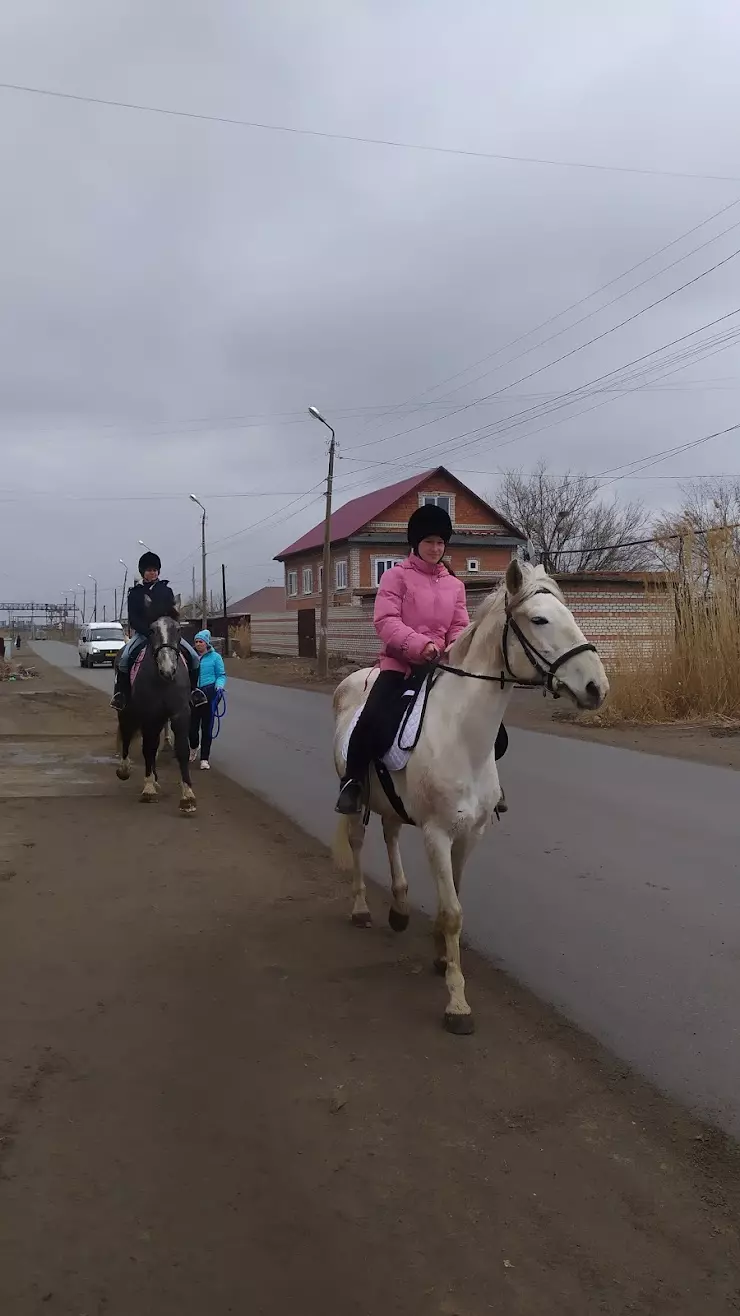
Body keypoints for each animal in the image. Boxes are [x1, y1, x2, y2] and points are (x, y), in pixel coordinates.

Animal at [114, 613, 196, 810]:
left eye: (178, 629)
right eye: (151, 631)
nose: (168, 669)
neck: (163, 680)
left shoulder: (179, 714)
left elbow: (181, 750)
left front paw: (188, 795)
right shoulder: (149, 716)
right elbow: (147, 749)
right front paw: (149, 789)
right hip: (127, 712)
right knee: (127, 736)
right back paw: (124, 769)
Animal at [331, 560, 608, 1031]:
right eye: (539, 619)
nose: (597, 687)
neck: (462, 737)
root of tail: (352, 681)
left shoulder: (469, 835)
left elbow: (453, 899)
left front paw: (441, 958)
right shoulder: (437, 835)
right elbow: (453, 912)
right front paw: (457, 1003)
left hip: (391, 804)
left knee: (389, 834)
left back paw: (399, 908)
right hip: (356, 802)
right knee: (358, 840)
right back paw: (363, 910)